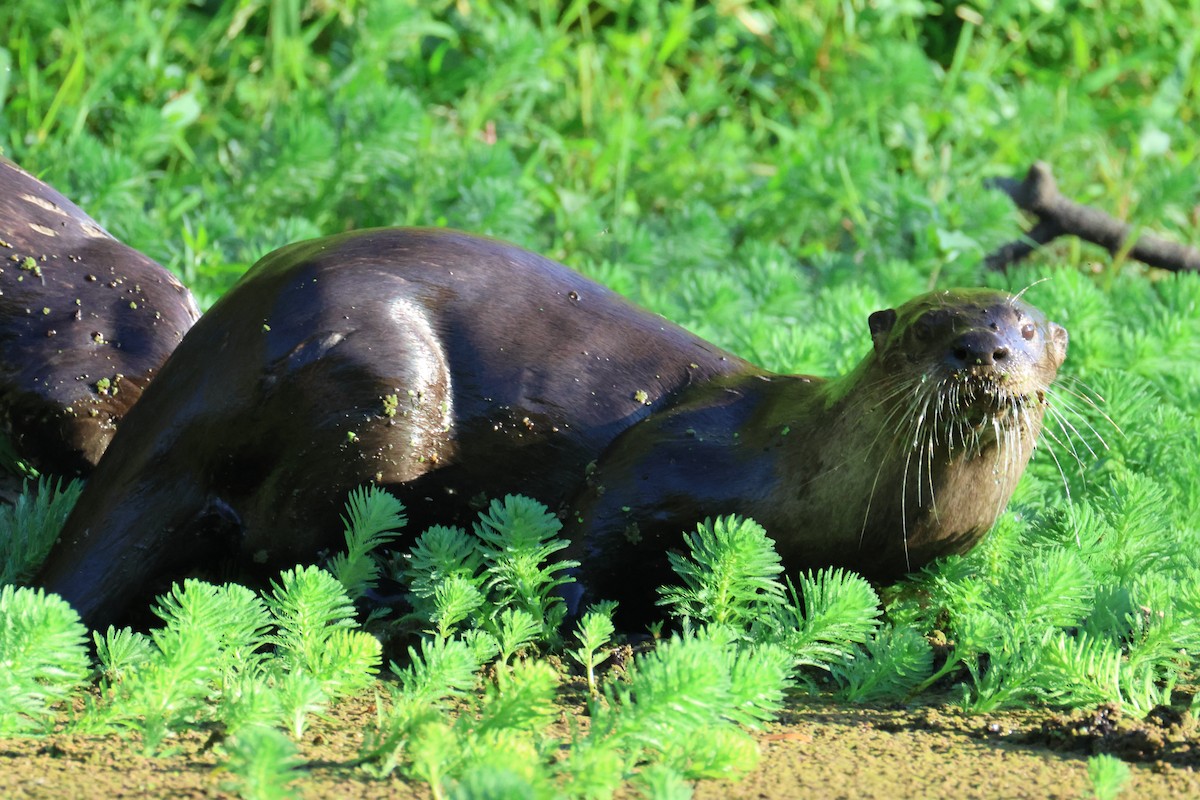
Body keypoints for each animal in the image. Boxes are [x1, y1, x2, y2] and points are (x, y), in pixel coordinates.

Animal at [33, 228, 1067, 628]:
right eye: (929, 326)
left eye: (1029, 328)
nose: (983, 349)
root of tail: (212, 349)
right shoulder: (671, 453)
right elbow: (593, 522)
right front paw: (573, 618)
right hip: (379, 384)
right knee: (276, 534)